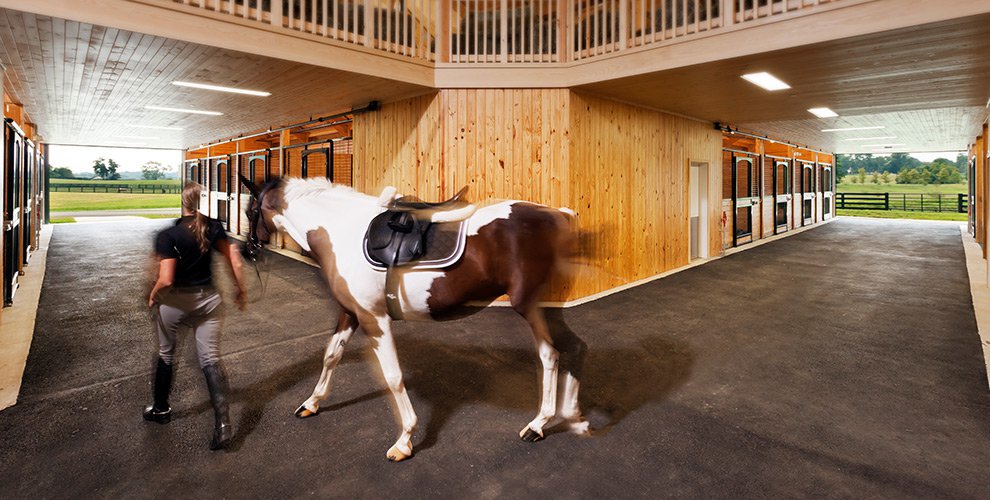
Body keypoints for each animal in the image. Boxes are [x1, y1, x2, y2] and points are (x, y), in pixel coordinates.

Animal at [238, 175, 589, 461]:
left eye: (249, 211)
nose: (246, 251)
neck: (341, 231)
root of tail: (558, 215)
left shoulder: (374, 320)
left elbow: (393, 377)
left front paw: (404, 440)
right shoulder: (350, 313)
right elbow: (331, 356)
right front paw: (311, 403)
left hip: (532, 306)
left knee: (557, 352)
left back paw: (547, 422)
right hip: (543, 308)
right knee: (563, 351)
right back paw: (557, 419)